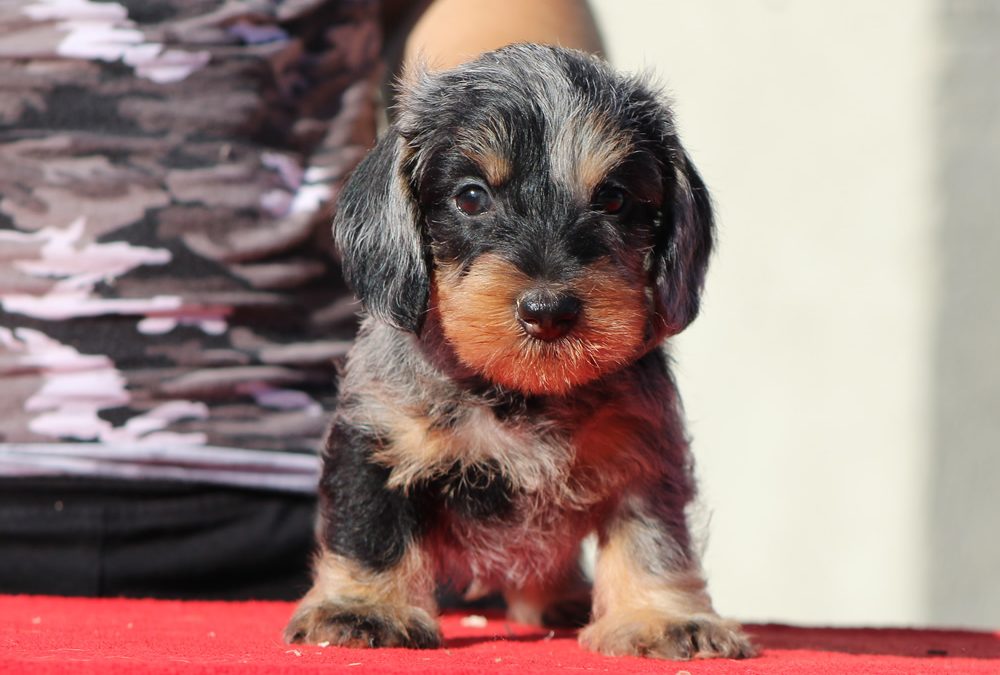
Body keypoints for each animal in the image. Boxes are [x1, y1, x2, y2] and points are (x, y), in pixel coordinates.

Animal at [286, 45, 752, 664]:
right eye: (471, 196)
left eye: (613, 197)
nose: (548, 310)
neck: (520, 394)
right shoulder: (376, 436)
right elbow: (371, 529)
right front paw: (364, 607)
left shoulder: (644, 459)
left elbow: (655, 542)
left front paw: (662, 617)